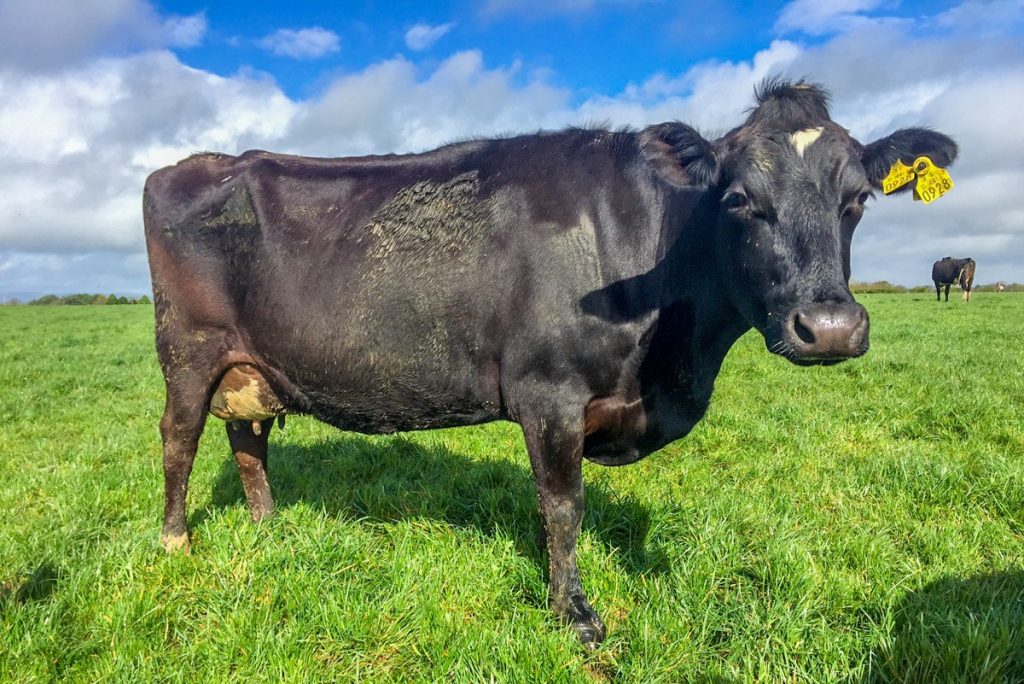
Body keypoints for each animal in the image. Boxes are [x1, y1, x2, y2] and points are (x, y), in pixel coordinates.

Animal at [140, 80, 954, 647]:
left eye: (858, 199)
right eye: (739, 199)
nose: (831, 327)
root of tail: (192, 165)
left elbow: (551, 507)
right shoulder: (550, 393)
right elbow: (565, 506)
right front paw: (574, 612)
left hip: (252, 362)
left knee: (248, 439)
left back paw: (271, 528)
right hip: (189, 348)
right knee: (180, 439)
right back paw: (176, 542)